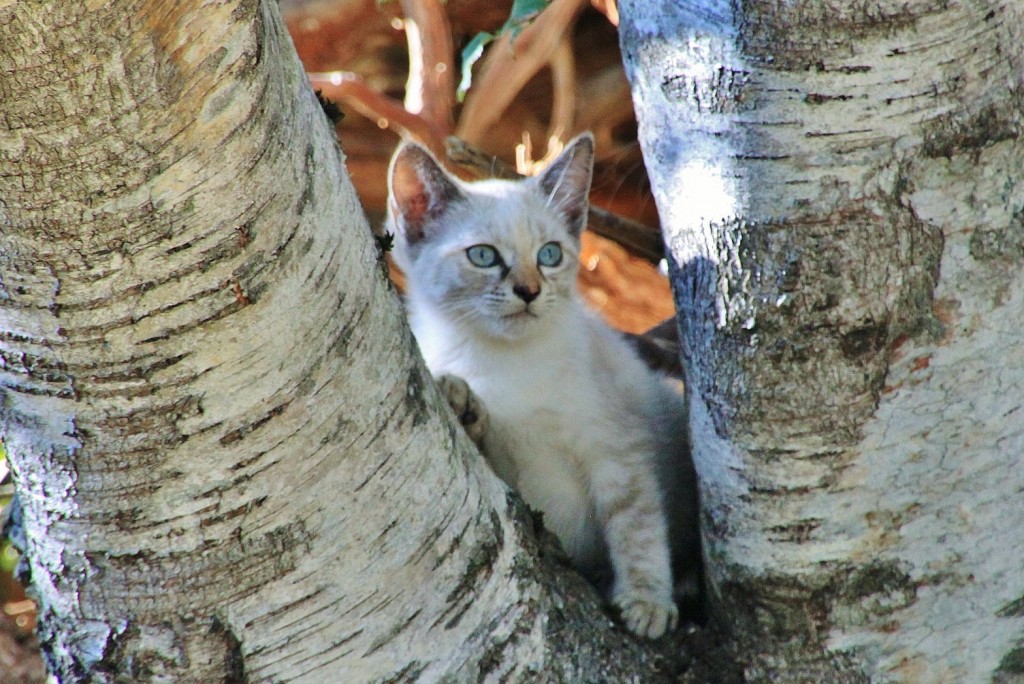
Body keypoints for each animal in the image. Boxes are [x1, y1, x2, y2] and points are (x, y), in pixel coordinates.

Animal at [387, 135, 700, 643]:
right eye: (483, 256)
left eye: (550, 255)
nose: (530, 291)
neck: (506, 362)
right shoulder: (511, 481)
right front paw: (460, 402)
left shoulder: (617, 448)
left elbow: (637, 526)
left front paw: (646, 602)